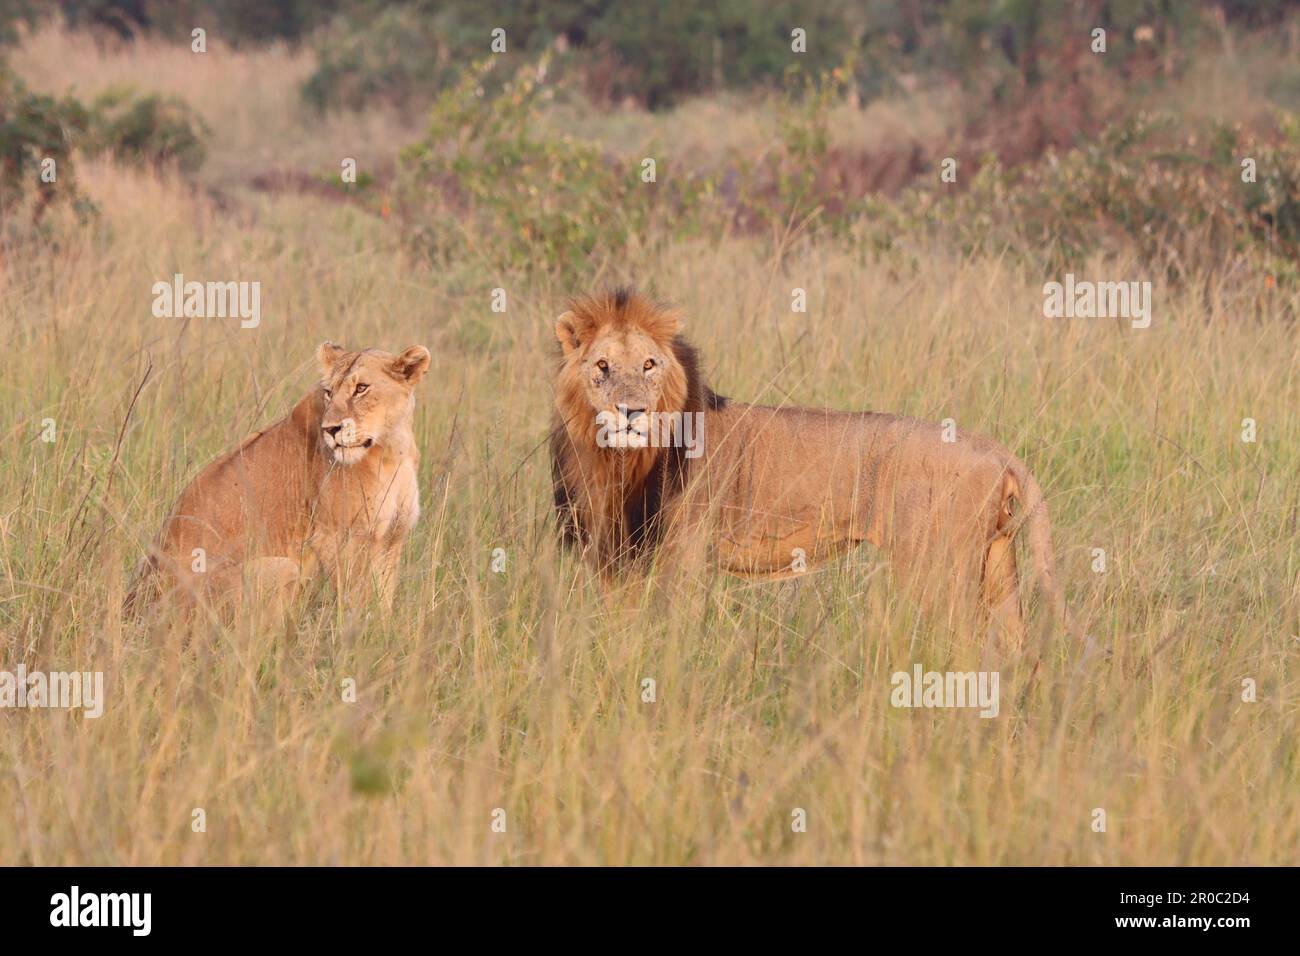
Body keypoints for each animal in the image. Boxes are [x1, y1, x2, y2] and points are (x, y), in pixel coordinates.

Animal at [129, 341, 431, 612]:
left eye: (361, 388)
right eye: (328, 392)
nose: (330, 429)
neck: (391, 451)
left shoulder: (392, 538)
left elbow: (383, 601)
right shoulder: (338, 538)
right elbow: (357, 600)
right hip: (282, 568)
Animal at [549, 288, 1066, 645]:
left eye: (649, 365)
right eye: (602, 366)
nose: (630, 411)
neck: (618, 461)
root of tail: (996, 449)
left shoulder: (683, 554)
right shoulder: (614, 551)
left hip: (937, 567)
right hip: (997, 563)